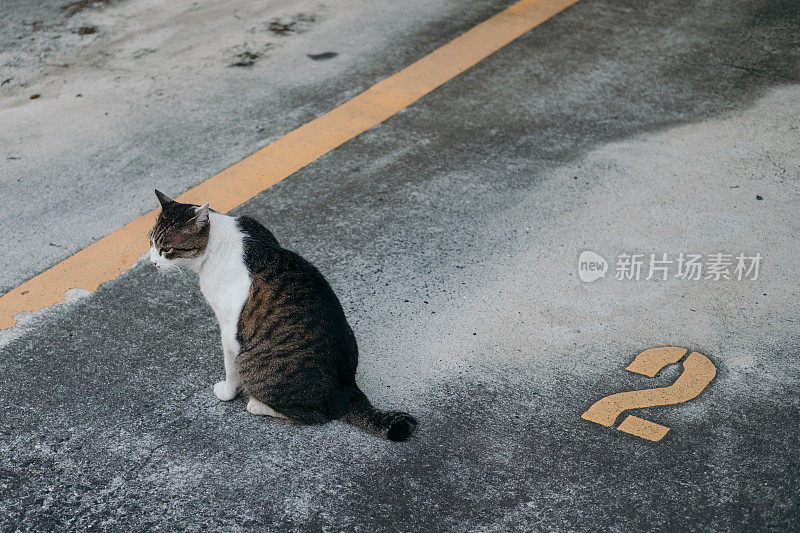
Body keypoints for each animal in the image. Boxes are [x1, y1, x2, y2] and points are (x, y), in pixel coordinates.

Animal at [148, 188, 418, 440]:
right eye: (150, 242)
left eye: (166, 249)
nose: (152, 262)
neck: (216, 241)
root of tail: (346, 389)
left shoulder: (229, 328)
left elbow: (230, 368)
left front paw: (226, 392)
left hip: (254, 363)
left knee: (315, 416)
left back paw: (257, 405)